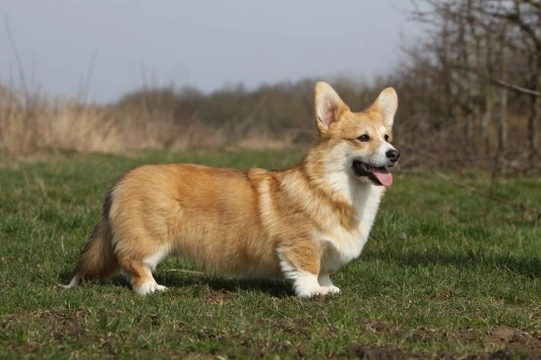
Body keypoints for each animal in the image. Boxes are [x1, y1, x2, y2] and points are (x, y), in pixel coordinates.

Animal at [65, 82, 398, 298]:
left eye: (387, 136)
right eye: (363, 138)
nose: (394, 154)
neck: (334, 186)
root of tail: (121, 181)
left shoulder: (326, 248)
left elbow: (325, 271)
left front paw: (328, 288)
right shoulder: (301, 245)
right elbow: (307, 271)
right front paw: (315, 293)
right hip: (150, 238)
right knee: (135, 265)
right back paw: (152, 289)